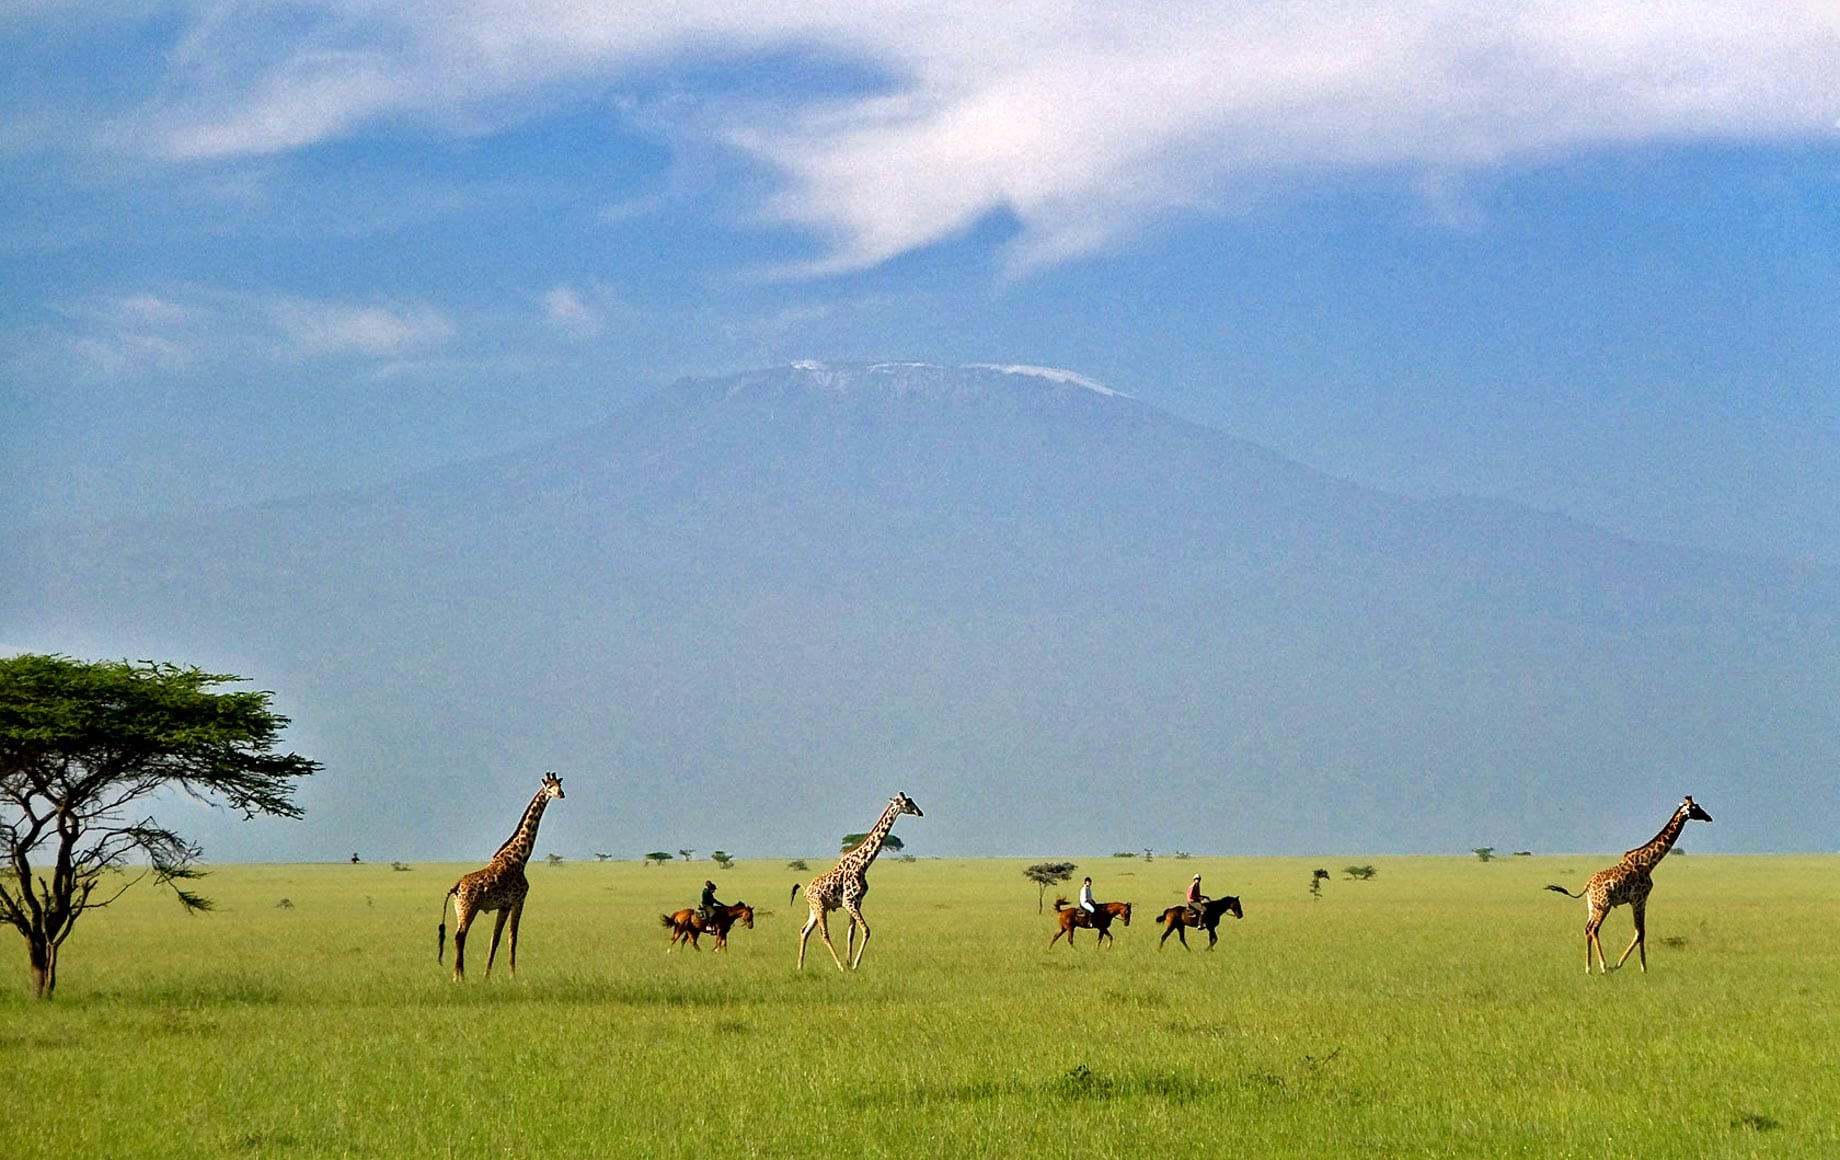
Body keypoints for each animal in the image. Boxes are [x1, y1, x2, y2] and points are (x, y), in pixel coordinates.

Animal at [439, 777, 566, 986]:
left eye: (560, 785)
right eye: (550, 787)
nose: (561, 794)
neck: (520, 857)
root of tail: (456, 886)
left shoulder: (504, 906)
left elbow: (495, 939)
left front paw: (487, 975)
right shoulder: (518, 901)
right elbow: (512, 938)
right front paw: (513, 975)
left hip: (459, 909)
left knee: (459, 936)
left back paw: (458, 975)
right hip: (469, 908)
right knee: (460, 936)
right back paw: (460, 977)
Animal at [798, 791, 927, 972]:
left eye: (912, 801)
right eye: (906, 803)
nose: (920, 812)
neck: (863, 864)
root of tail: (806, 891)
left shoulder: (857, 902)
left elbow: (851, 933)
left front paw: (850, 963)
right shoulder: (848, 902)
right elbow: (866, 930)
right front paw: (853, 964)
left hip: (815, 908)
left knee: (804, 931)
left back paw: (800, 966)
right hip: (819, 906)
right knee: (824, 934)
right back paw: (838, 966)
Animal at [1552, 795, 1707, 979]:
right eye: (1696, 808)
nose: (1709, 817)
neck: (1649, 862)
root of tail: (1588, 885)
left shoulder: (1639, 901)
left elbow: (1641, 932)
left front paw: (1643, 967)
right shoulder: (1639, 899)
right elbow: (1640, 932)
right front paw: (1626, 966)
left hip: (1592, 906)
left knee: (1587, 929)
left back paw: (1588, 968)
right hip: (1604, 905)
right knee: (1594, 929)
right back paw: (1604, 966)